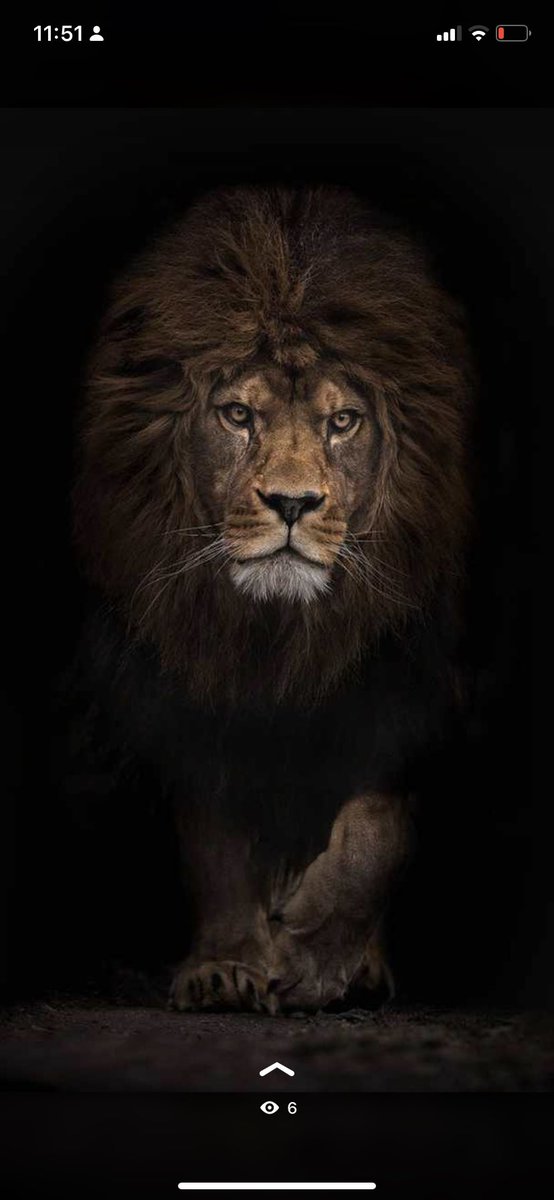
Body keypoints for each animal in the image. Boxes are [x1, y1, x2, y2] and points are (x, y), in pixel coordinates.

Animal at [73, 185, 472, 1012]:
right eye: (238, 414)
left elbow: (378, 826)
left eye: (343, 421)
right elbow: (215, 841)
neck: (278, 635)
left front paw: (317, 958)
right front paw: (229, 965)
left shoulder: (409, 684)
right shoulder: (187, 688)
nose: (292, 503)